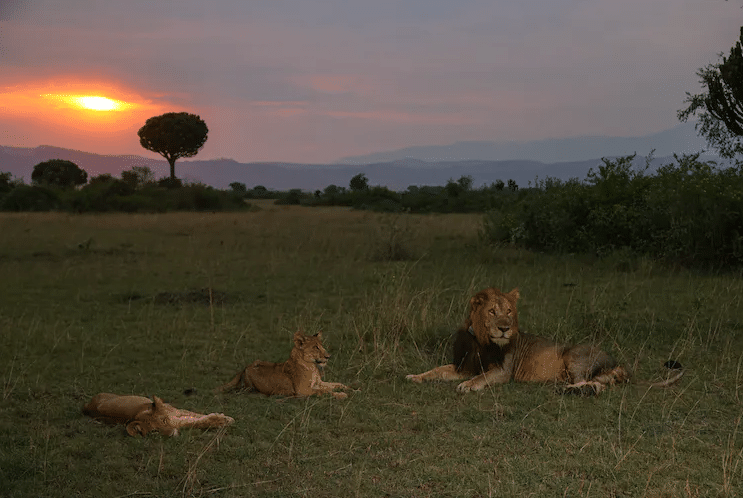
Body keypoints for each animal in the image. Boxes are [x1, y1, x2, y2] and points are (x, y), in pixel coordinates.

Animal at [83, 393, 234, 436]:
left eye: (164, 421)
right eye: (154, 431)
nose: (171, 434)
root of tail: (87, 406)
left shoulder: (179, 412)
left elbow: (196, 416)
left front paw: (223, 418)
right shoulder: (180, 421)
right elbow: (196, 422)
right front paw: (222, 420)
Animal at [217, 330, 351, 399]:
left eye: (321, 345)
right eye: (315, 347)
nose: (328, 356)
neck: (313, 367)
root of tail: (245, 367)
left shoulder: (318, 383)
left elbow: (337, 384)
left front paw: (351, 389)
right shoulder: (302, 390)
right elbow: (324, 392)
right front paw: (341, 394)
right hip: (249, 387)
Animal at [406, 287, 683, 396]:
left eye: (509, 312)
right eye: (492, 312)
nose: (505, 329)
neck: (482, 341)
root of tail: (618, 362)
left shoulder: (503, 371)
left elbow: (481, 377)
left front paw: (467, 385)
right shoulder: (463, 366)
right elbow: (436, 370)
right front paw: (414, 377)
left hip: (574, 354)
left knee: (594, 384)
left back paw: (568, 389)